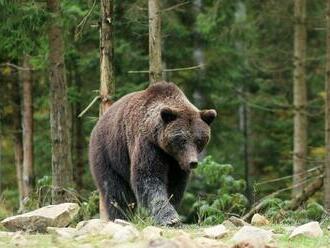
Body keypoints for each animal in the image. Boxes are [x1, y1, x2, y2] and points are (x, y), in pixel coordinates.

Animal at [88, 81, 217, 225]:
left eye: (199, 140)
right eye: (182, 140)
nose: (192, 162)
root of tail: (99, 122)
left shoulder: (176, 163)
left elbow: (175, 186)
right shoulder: (148, 144)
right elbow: (148, 177)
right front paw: (170, 218)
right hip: (108, 153)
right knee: (115, 190)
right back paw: (121, 216)